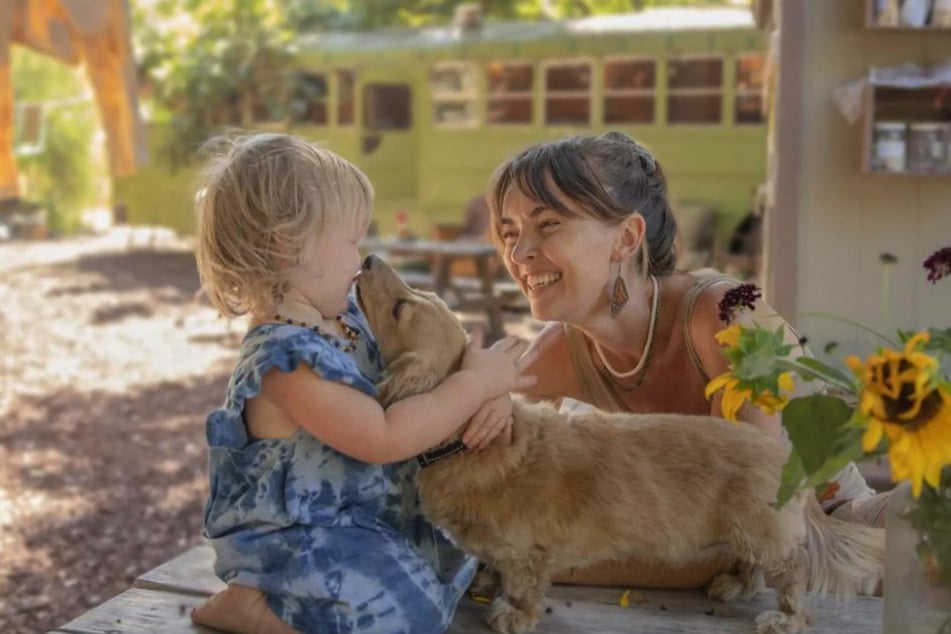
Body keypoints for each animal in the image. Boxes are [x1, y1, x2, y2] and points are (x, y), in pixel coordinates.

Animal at [356, 254, 884, 628]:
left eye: (402, 307)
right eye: (414, 294)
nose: (367, 258)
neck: (473, 441)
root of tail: (781, 451)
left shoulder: (528, 551)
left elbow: (524, 586)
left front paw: (513, 614)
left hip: (764, 531)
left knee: (792, 571)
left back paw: (785, 617)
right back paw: (735, 585)